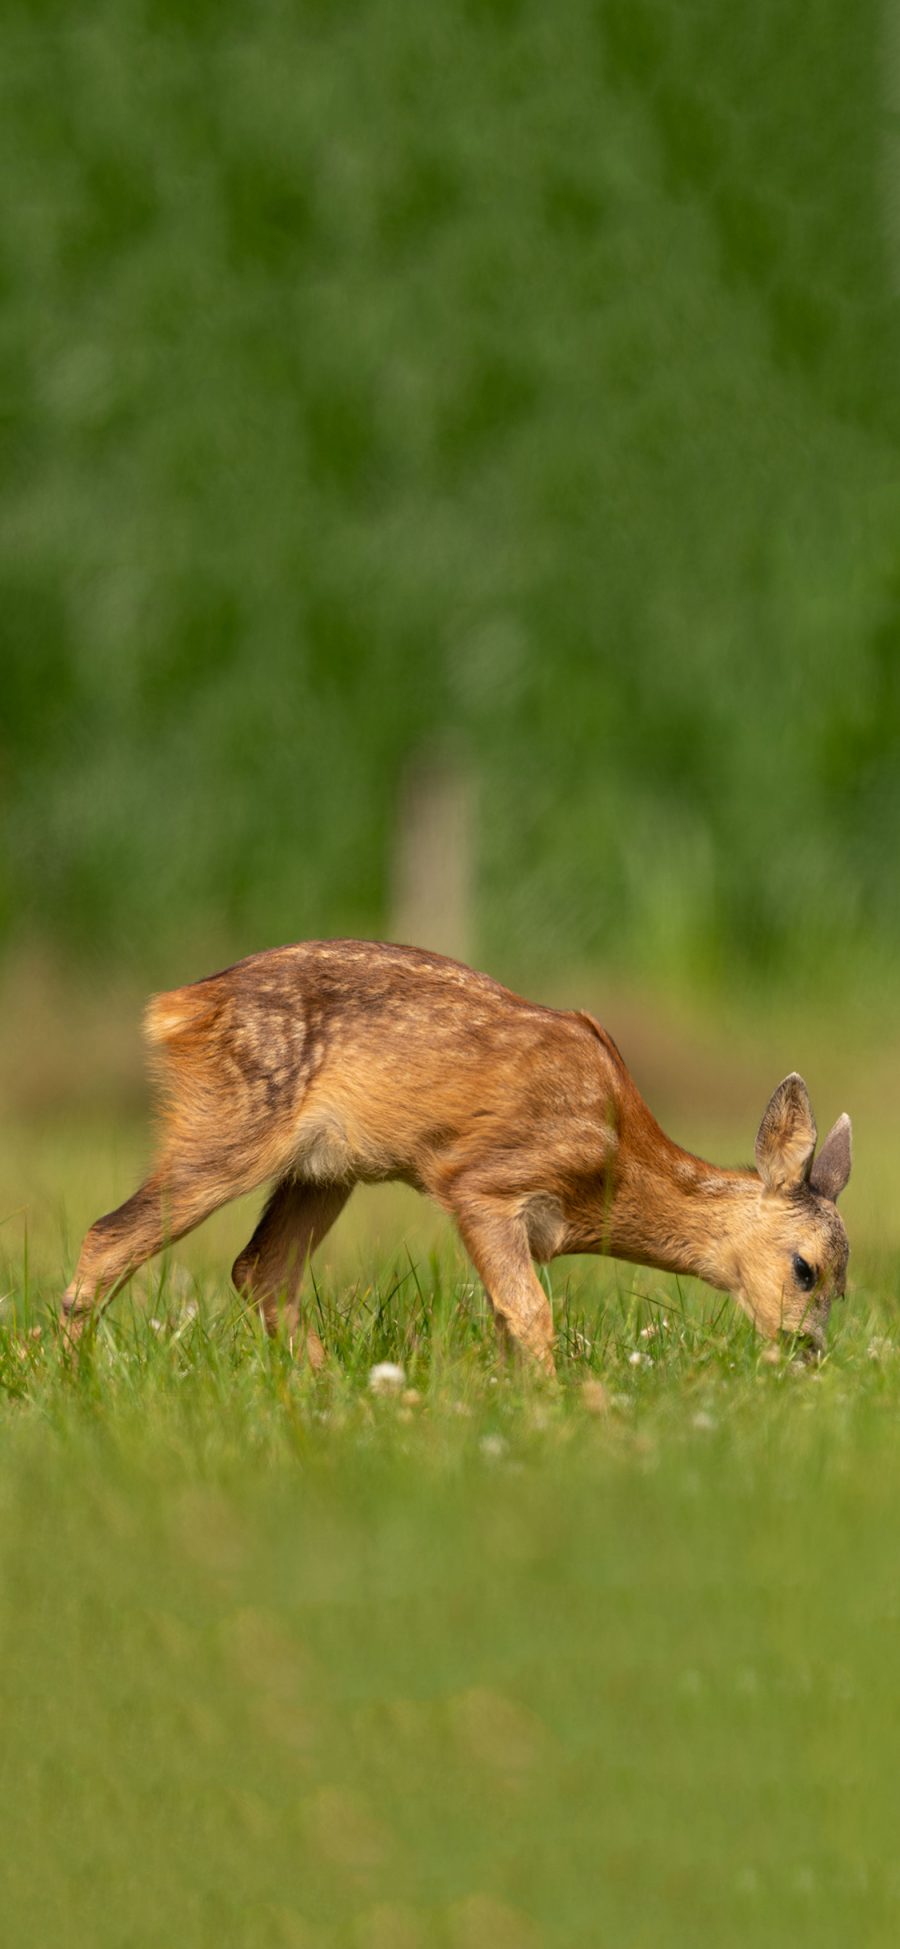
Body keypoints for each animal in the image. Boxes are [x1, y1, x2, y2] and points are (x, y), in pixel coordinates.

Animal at [61, 935, 849, 1364]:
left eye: (845, 1285)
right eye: (805, 1268)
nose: (806, 1354)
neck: (616, 1163)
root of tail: (178, 1007)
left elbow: (506, 1319)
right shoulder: (482, 1181)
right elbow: (530, 1314)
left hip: (324, 1168)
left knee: (261, 1269)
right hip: (233, 1123)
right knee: (109, 1234)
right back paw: (76, 1384)